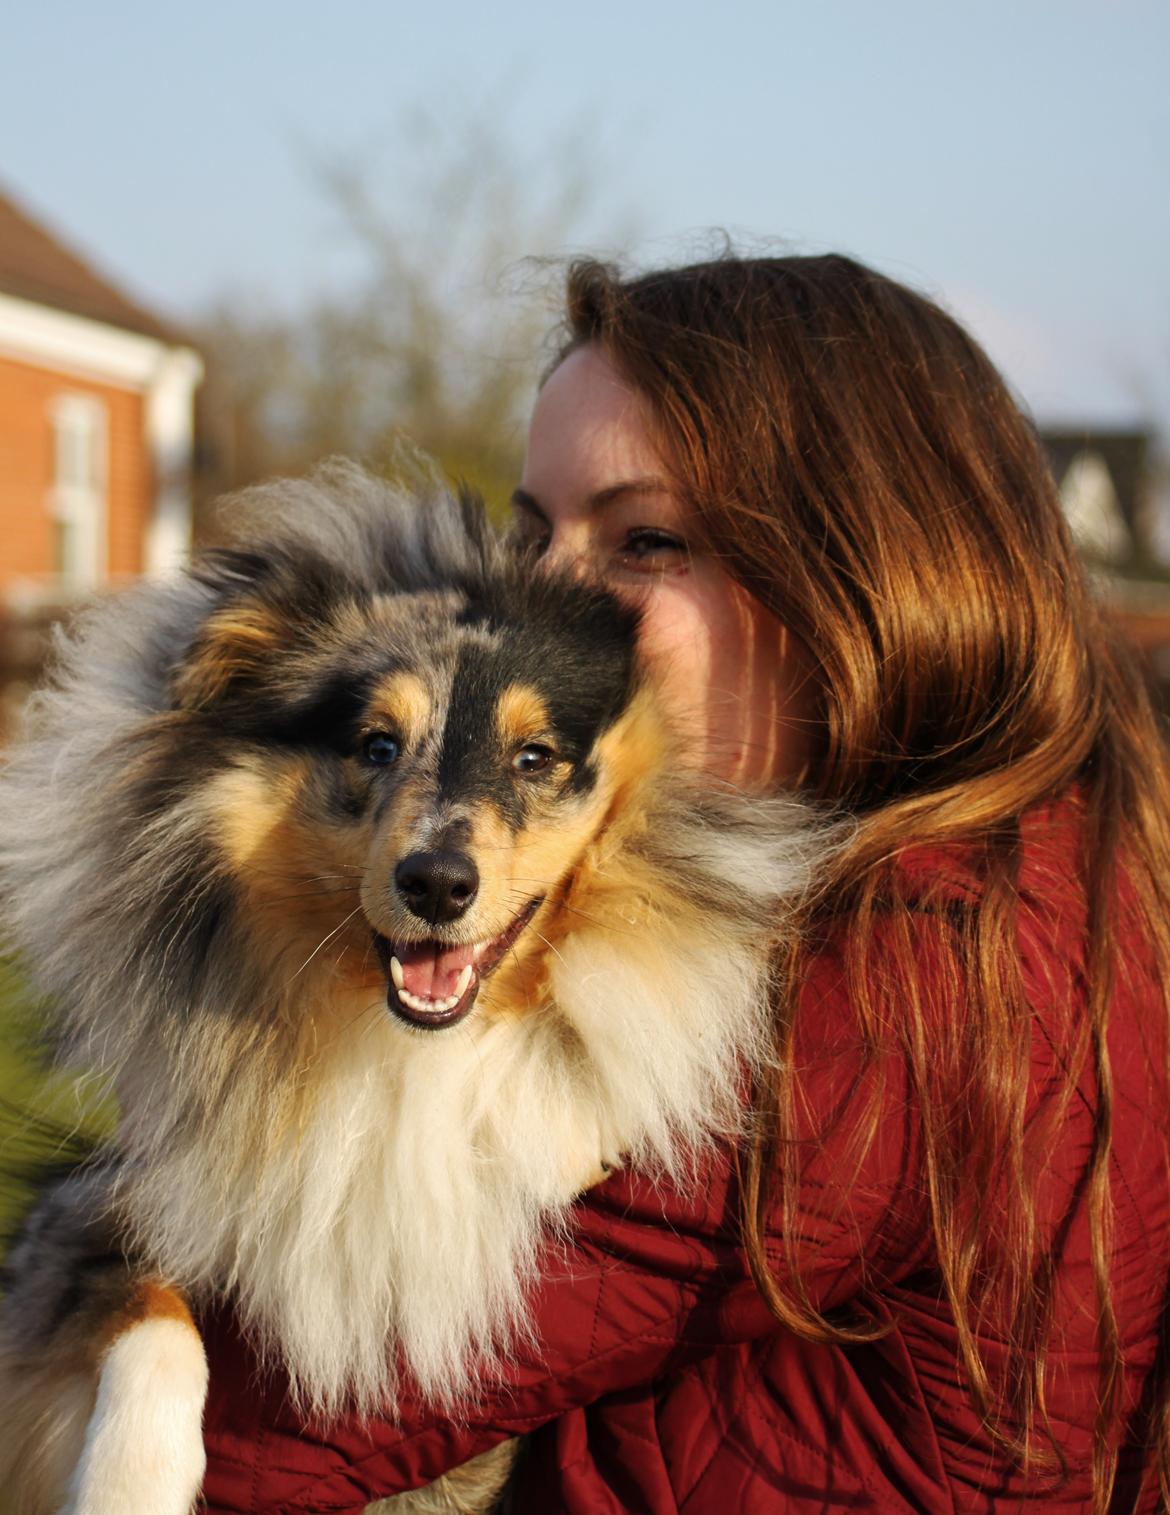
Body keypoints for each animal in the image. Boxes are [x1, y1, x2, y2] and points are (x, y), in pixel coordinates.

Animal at [0, 460, 824, 1515]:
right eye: (376, 745)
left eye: (535, 756)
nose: (435, 884)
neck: (409, 1044)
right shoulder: (95, 1210)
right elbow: (147, 1312)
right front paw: (128, 1484)